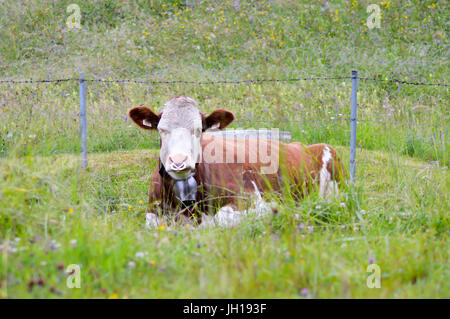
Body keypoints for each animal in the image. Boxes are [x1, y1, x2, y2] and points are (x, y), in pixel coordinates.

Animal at [128, 96, 346, 226]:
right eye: (161, 129)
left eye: (199, 130)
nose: (179, 162)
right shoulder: (153, 212)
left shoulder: (250, 198)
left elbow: (222, 219)